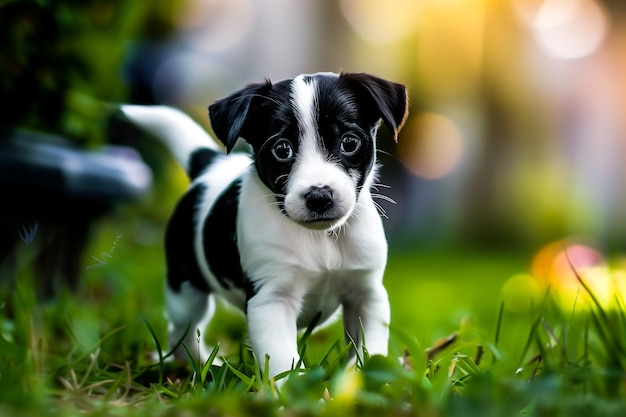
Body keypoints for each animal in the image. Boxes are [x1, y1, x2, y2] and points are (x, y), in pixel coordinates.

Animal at [121, 71, 408, 376]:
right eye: (282, 149)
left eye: (349, 142)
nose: (319, 196)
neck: (321, 239)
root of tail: (210, 165)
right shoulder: (271, 300)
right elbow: (283, 360)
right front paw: (293, 387)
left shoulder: (367, 295)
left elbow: (370, 348)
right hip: (186, 291)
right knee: (182, 331)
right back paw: (202, 366)